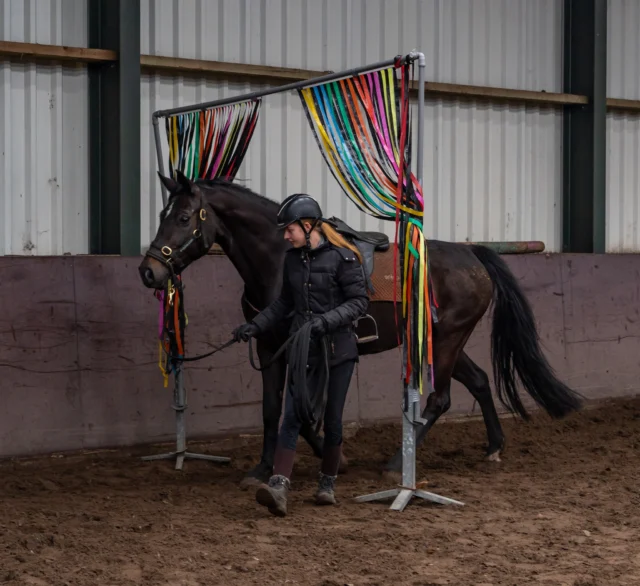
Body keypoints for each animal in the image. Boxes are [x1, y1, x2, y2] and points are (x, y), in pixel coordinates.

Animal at [138, 171, 583, 487]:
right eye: (162, 215)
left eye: (183, 218)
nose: (149, 271)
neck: (284, 257)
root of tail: (472, 255)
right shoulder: (267, 346)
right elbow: (271, 409)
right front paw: (263, 468)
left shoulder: (302, 344)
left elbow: (301, 410)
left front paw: (331, 457)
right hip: (444, 343)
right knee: (478, 381)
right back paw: (493, 446)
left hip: (445, 342)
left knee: (440, 399)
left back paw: (397, 465)